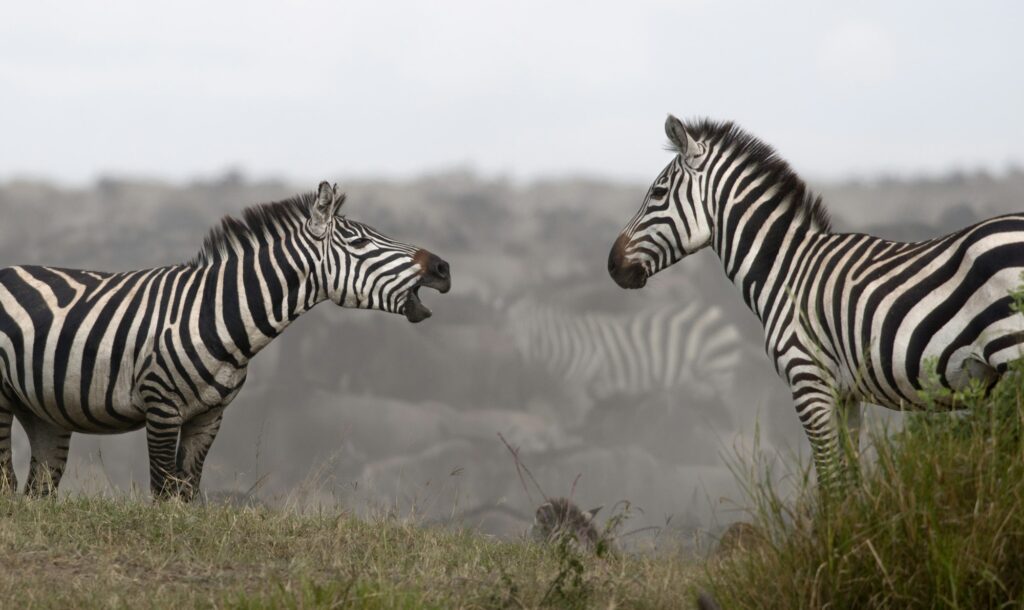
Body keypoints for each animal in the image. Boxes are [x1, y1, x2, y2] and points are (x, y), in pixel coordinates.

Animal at [606, 115, 1024, 491]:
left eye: (658, 193)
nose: (612, 265)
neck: (787, 270)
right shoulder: (847, 395)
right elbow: (851, 480)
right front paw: (858, 527)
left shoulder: (808, 382)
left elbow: (831, 483)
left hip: (1011, 348)